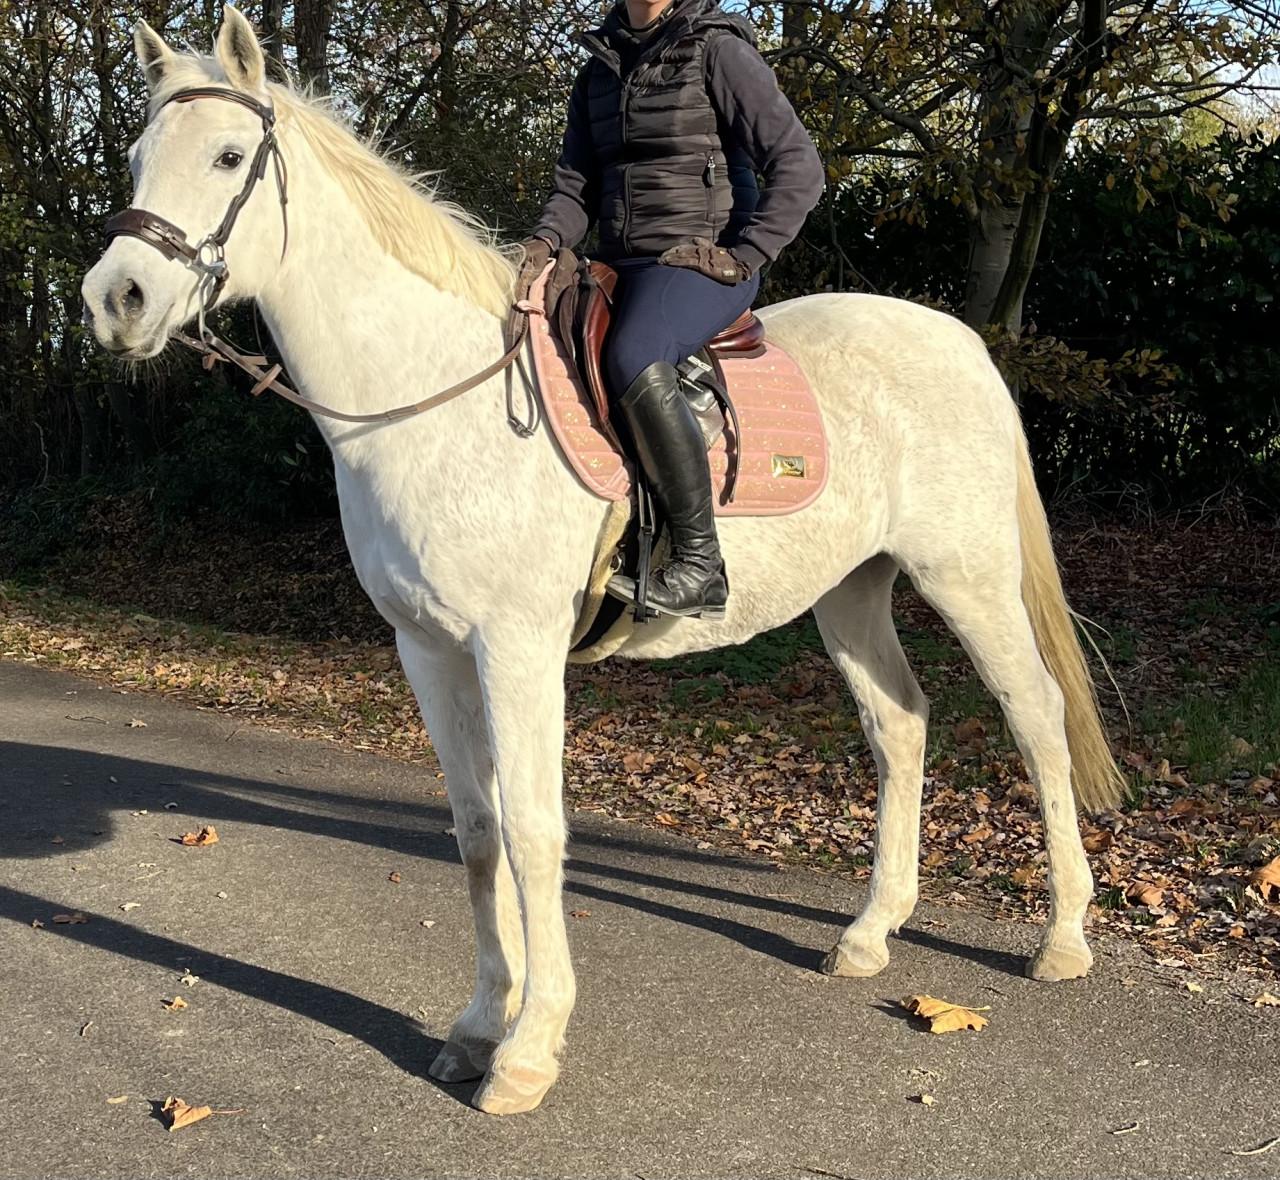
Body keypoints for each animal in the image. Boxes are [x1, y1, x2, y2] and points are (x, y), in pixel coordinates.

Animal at [81, 6, 1124, 1116]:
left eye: (230, 156)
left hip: (966, 576)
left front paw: (529, 1049)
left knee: (1035, 718)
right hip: (850, 592)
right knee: (901, 726)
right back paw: (870, 932)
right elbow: (476, 829)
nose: (116, 298)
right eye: (140, 156)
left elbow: (536, 834)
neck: (434, 398)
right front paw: (477, 1024)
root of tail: (961, 343)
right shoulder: (428, 650)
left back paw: (1062, 937)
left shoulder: (518, 648)